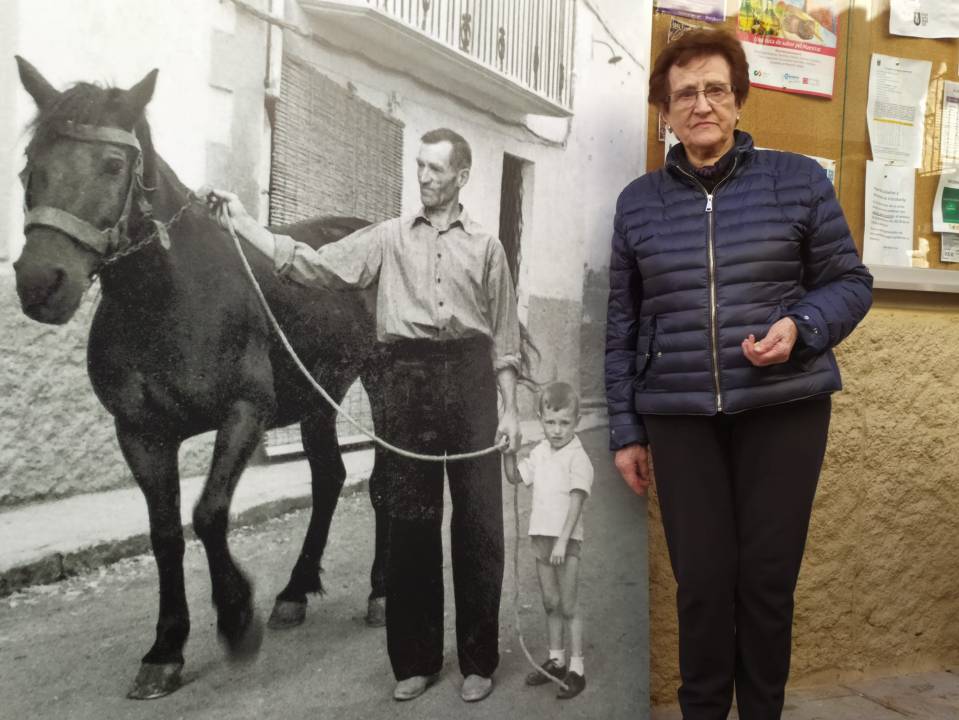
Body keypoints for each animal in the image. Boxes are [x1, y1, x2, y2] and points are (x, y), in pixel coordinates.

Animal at [11, 57, 395, 699]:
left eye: (112, 164)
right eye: (28, 164)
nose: (40, 282)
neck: (168, 296)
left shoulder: (245, 413)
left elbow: (209, 513)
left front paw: (238, 619)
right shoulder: (140, 433)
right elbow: (165, 532)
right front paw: (166, 648)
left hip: (383, 387)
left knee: (385, 480)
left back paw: (381, 591)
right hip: (319, 397)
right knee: (329, 480)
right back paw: (295, 592)